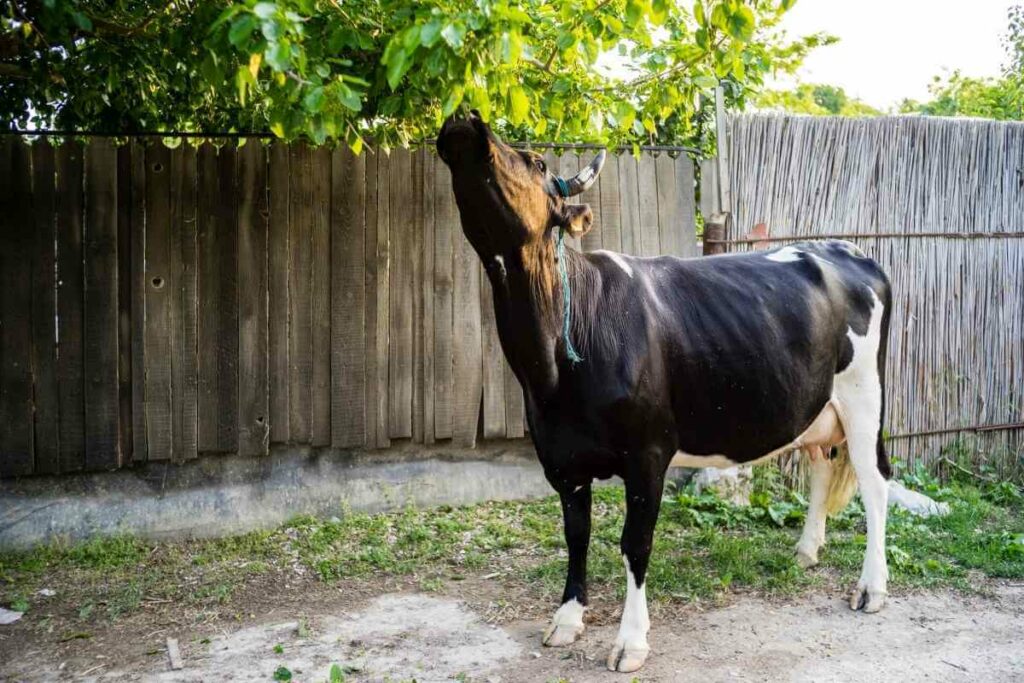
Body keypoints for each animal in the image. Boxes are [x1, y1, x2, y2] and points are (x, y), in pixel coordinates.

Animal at [436, 113, 892, 671]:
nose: (465, 119)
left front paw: (630, 641)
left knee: (876, 483)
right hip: (817, 405)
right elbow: (576, 536)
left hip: (865, 398)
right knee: (822, 465)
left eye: (538, 162)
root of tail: (846, 248)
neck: (553, 368)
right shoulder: (560, 457)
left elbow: (636, 543)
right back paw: (807, 551)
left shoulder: (648, 452)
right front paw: (566, 619)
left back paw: (871, 588)